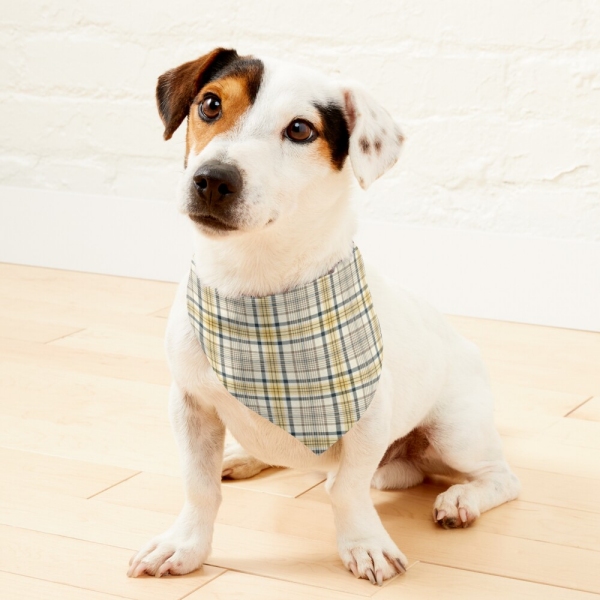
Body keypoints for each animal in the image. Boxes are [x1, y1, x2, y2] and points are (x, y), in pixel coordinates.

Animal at [127, 48, 520, 584]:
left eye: (299, 130)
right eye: (210, 104)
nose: (212, 179)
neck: (256, 286)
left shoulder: (368, 419)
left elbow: (347, 490)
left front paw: (365, 544)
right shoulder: (190, 405)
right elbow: (199, 486)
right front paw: (185, 545)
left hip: (456, 432)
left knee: (500, 477)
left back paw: (461, 499)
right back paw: (244, 456)